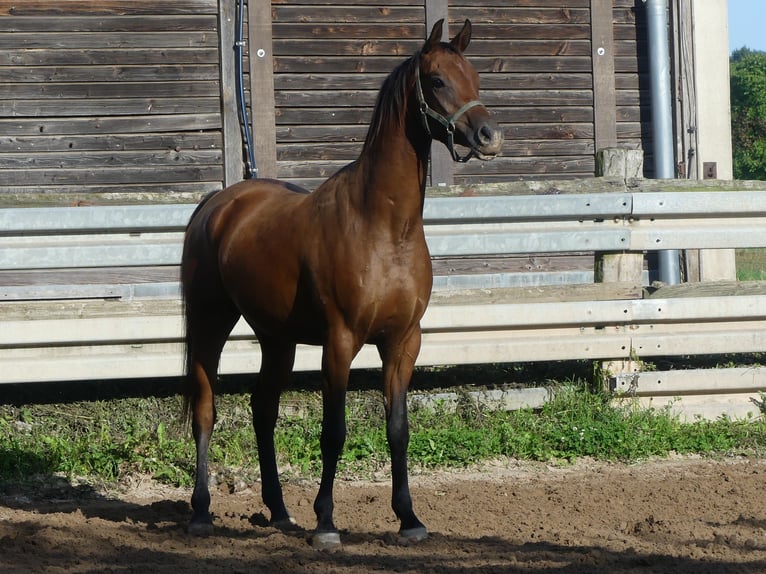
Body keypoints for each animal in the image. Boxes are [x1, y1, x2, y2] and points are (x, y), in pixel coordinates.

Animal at [180, 18, 503, 550]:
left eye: (474, 75)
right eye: (436, 80)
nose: (488, 135)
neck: (384, 227)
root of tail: (217, 204)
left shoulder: (402, 342)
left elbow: (398, 429)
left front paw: (408, 519)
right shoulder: (340, 341)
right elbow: (334, 430)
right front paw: (327, 523)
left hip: (278, 339)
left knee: (263, 409)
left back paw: (280, 511)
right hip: (212, 324)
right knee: (206, 409)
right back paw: (202, 511)